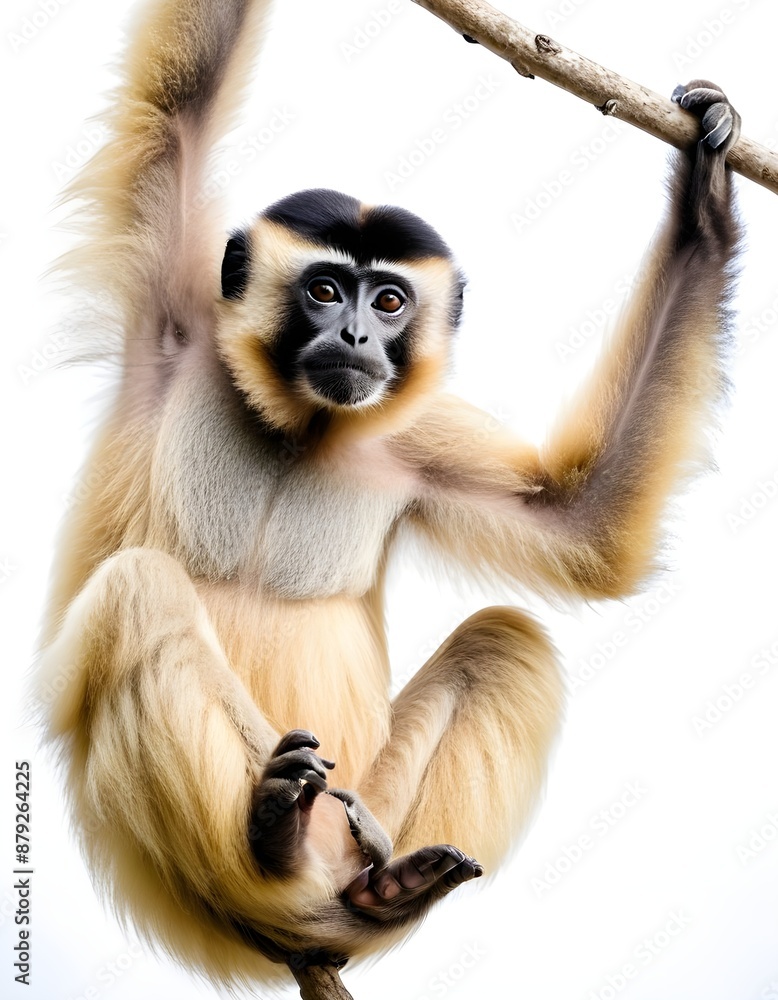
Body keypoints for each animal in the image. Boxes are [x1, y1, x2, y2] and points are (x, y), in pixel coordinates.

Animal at [37, 0, 742, 989]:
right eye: (327, 289)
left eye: (392, 302)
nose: (358, 336)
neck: (305, 423)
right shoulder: (177, 312)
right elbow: (178, 111)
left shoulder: (411, 438)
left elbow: (583, 521)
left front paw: (703, 203)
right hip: (165, 868)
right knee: (137, 594)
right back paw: (278, 843)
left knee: (505, 642)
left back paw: (379, 891)